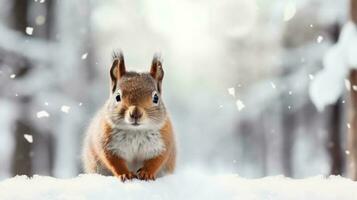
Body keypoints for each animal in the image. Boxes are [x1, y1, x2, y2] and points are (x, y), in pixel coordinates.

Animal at [81, 51, 175, 181]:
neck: (136, 131)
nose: (135, 113)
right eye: (117, 97)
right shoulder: (106, 142)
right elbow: (114, 162)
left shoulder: (163, 141)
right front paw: (125, 174)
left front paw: (146, 173)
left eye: (156, 98)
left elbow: (156, 161)